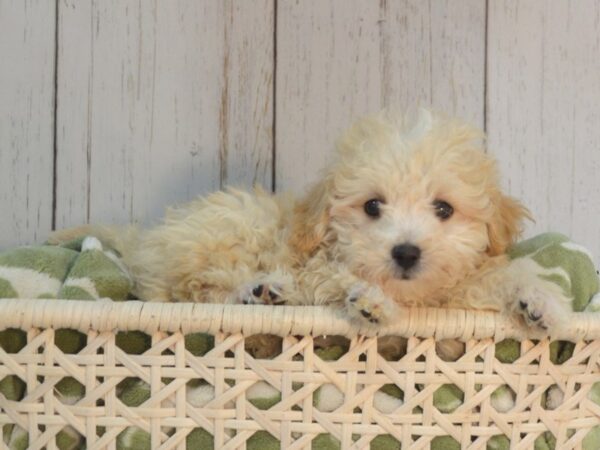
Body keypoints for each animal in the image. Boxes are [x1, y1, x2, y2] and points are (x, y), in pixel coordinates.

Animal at [49, 109, 568, 334]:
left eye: (443, 209)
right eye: (372, 207)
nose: (405, 252)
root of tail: (143, 239)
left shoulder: (463, 286)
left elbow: (507, 274)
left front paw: (540, 303)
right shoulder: (319, 267)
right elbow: (340, 279)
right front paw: (372, 303)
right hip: (226, 232)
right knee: (188, 289)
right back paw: (259, 291)